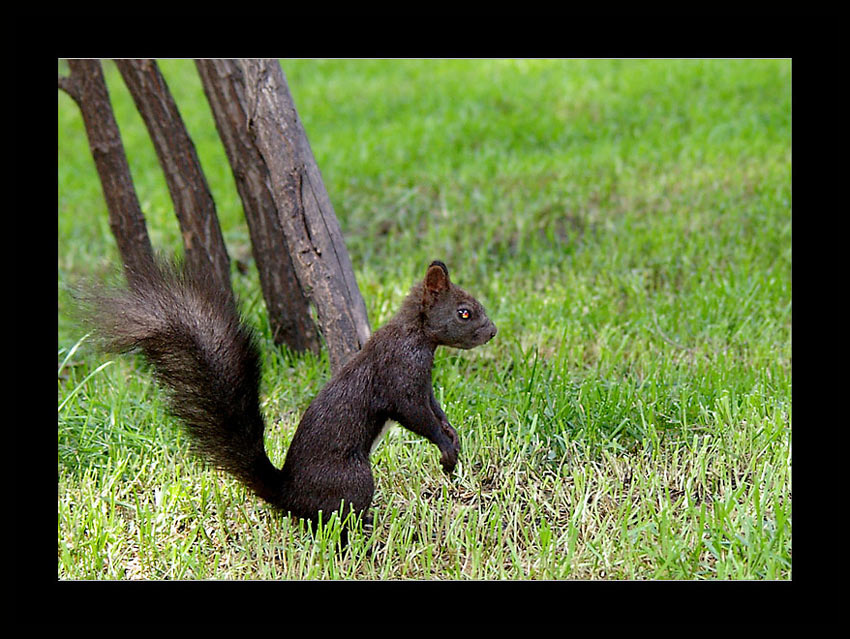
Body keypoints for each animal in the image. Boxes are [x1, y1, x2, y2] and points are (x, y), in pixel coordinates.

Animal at [81, 258, 496, 533]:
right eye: (464, 312)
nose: (492, 332)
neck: (417, 336)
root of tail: (288, 495)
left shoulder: (422, 384)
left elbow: (435, 409)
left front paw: (452, 435)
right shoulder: (399, 378)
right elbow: (416, 417)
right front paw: (446, 450)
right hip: (354, 479)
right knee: (330, 523)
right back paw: (363, 530)